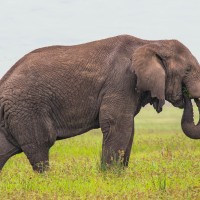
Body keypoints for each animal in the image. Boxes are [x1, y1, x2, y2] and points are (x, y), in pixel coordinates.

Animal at [0, 34, 200, 172]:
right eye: (188, 70)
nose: (185, 95)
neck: (151, 42)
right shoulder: (121, 81)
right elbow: (117, 124)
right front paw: (111, 177)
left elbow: (129, 129)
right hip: (26, 109)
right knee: (40, 147)